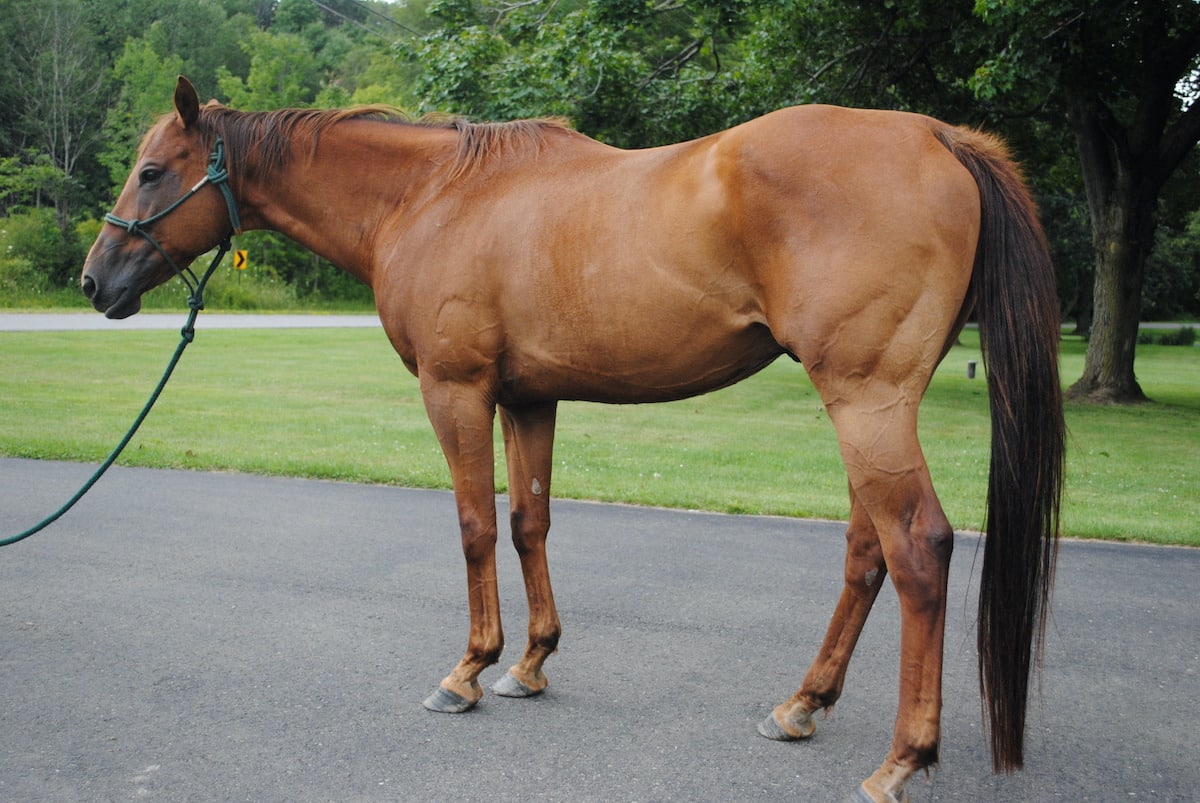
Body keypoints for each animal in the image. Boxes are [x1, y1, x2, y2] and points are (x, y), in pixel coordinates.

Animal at [82, 77, 1063, 802]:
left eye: (154, 172)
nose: (95, 282)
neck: (431, 196)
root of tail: (940, 136)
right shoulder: (529, 399)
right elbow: (529, 523)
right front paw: (531, 662)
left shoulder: (457, 392)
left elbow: (475, 525)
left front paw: (468, 670)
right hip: (871, 404)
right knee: (868, 552)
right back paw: (802, 703)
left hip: (865, 400)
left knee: (918, 548)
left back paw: (900, 760)